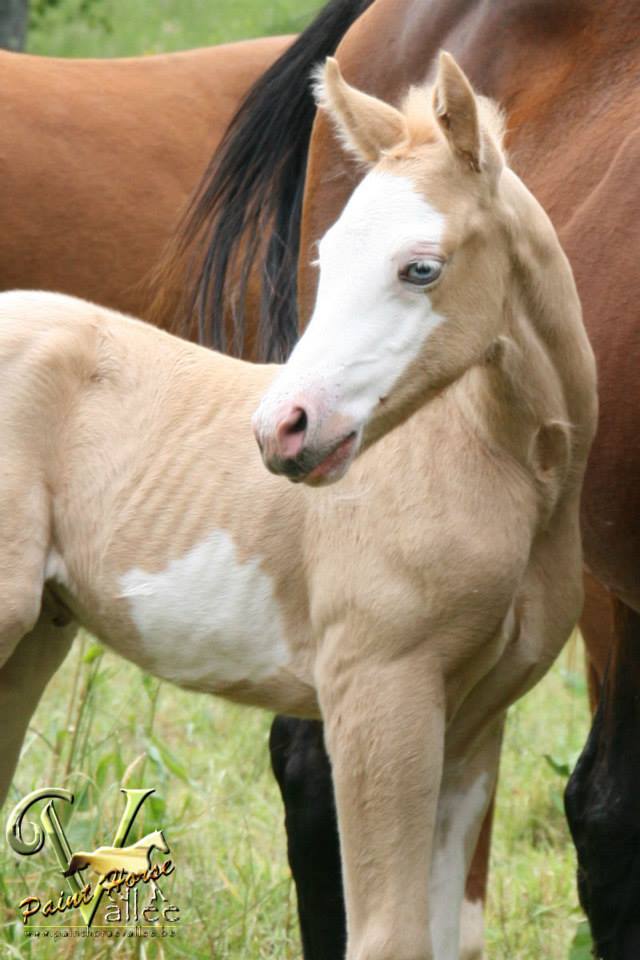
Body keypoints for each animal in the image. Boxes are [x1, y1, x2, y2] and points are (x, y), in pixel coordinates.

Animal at [1, 56, 596, 960]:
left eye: (421, 268)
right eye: (327, 257)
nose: (283, 428)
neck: (493, 464)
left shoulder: (474, 720)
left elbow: (448, 935)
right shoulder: (377, 694)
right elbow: (387, 935)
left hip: (38, 629)